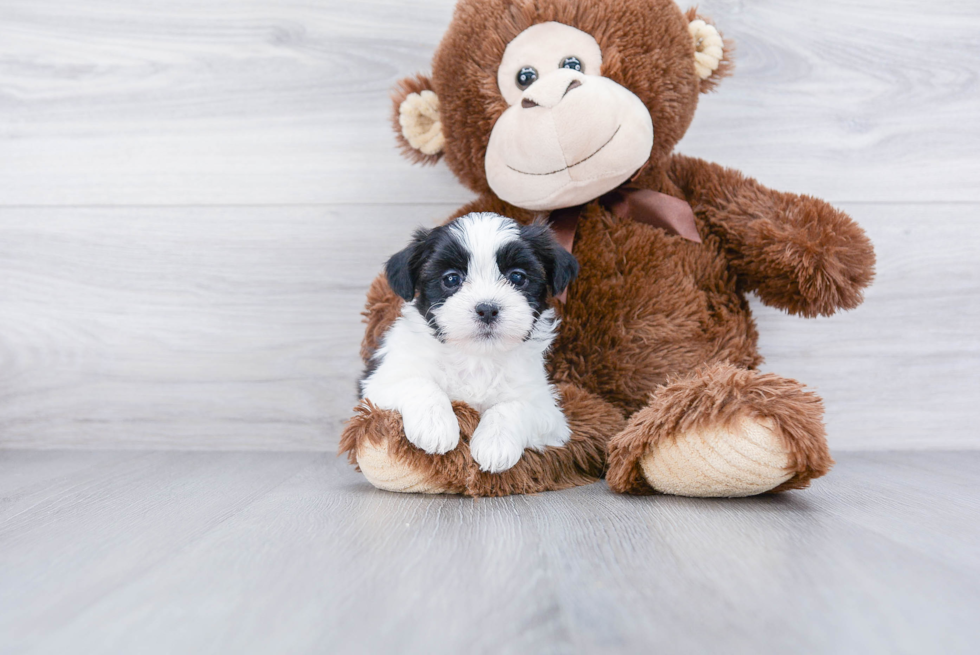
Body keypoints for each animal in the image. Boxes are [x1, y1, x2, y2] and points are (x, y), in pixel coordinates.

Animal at [360, 213, 580, 474]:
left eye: (517, 277)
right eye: (451, 279)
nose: (487, 309)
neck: (477, 358)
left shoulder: (548, 411)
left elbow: (511, 407)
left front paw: (495, 445)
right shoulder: (380, 383)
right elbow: (419, 384)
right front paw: (435, 426)